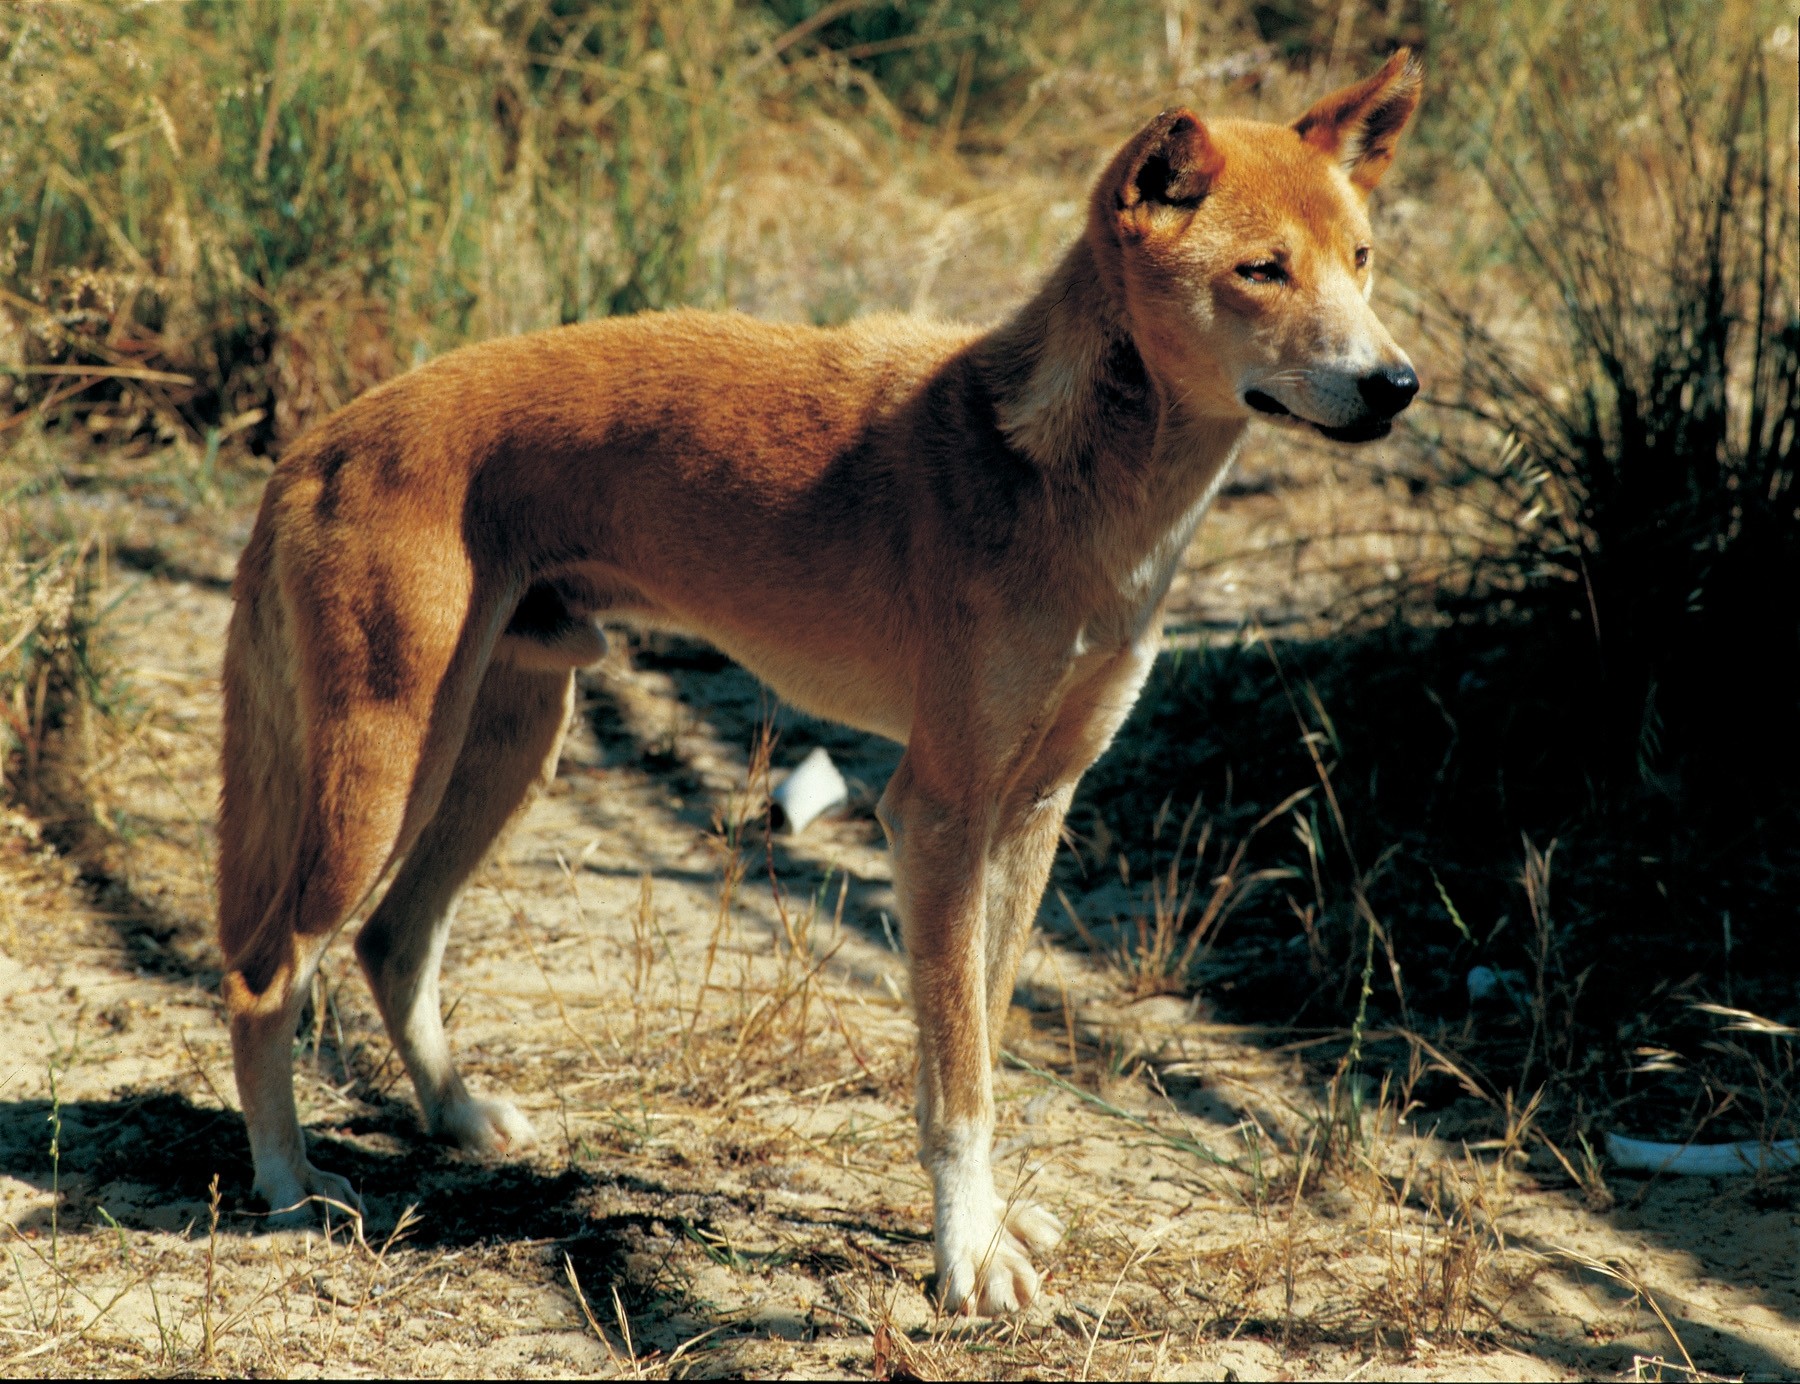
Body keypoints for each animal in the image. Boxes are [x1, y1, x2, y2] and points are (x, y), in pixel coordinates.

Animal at [214, 48, 1418, 1310]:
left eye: (1360, 258)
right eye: (1261, 270)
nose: (1398, 383)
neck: (1066, 475)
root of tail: (317, 442)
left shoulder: (1030, 810)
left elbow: (974, 1042)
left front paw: (986, 1224)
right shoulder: (938, 812)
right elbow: (959, 1079)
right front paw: (965, 1257)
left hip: (503, 748)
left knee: (393, 941)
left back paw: (452, 1116)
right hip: (387, 771)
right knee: (265, 974)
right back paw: (288, 1185)